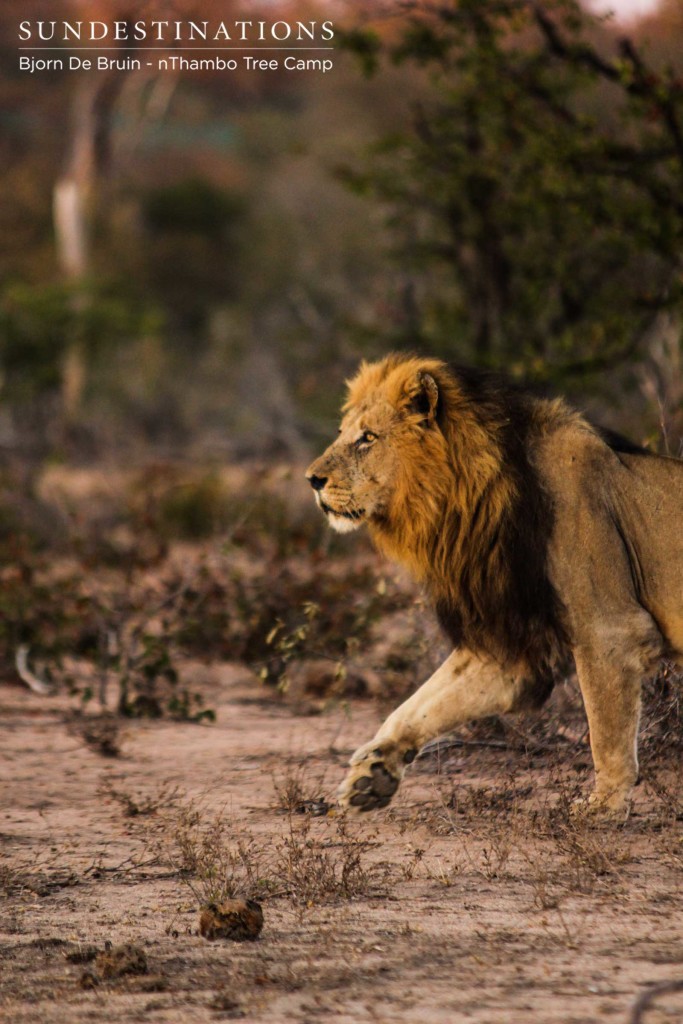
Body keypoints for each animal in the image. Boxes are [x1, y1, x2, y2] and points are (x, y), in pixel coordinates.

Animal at [305, 352, 683, 815]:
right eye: (342, 433)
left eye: (367, 438)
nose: (311, 480)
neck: (469, 501)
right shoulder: (513, 643)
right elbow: (421, 703)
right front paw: (374, 772)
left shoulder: (609, 627)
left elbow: (605, 728)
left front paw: (602, 806)